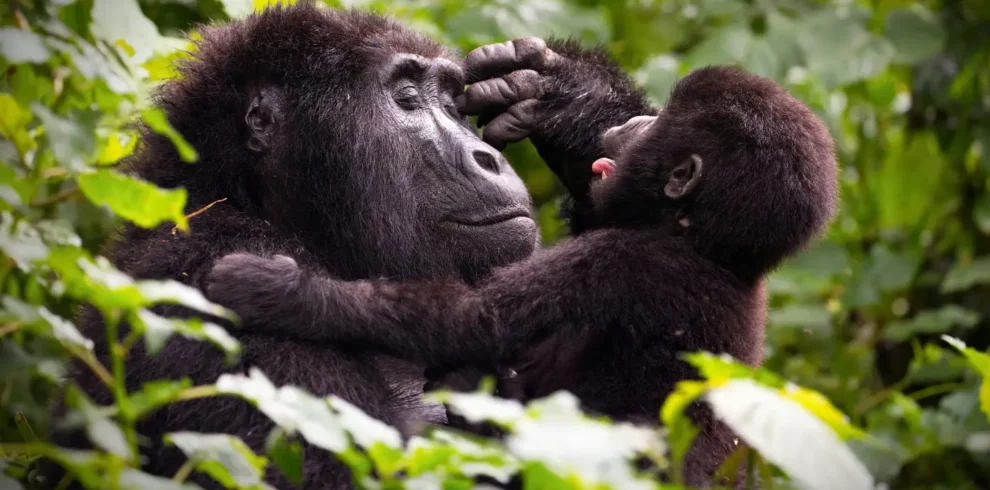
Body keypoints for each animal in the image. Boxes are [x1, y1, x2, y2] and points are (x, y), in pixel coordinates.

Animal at [207, 64, 836, 482]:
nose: (627, 125)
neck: (703, 242)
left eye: (652, 128)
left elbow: (467, 321)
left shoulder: (617, 262)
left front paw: (279, 291)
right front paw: (562, 89)